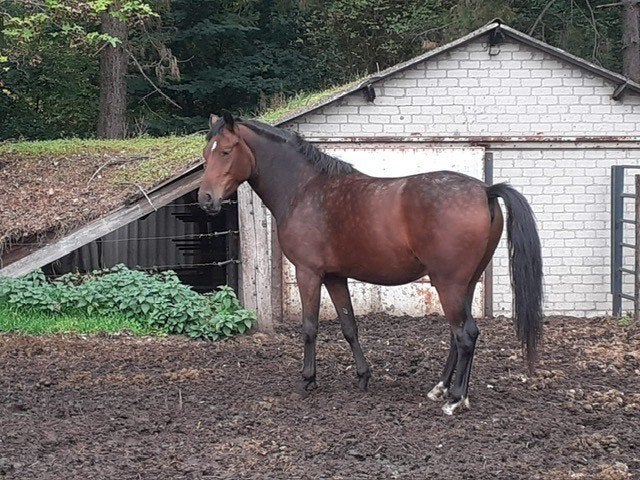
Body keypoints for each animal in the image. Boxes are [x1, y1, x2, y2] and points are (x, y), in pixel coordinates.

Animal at [198, 112, 543, 415]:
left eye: (226, 151)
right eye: (206, 153)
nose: (205, 199)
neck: (304, 190)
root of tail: (485, 190)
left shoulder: (308, 273)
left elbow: (309, 327)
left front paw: (306, 380)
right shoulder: (334, 276)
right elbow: (349, 326)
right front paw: (363, 376)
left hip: (449, 284)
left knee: (466, 335)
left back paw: (455, 399)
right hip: (465, 284)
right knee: (457, 336)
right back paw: (441, 389)